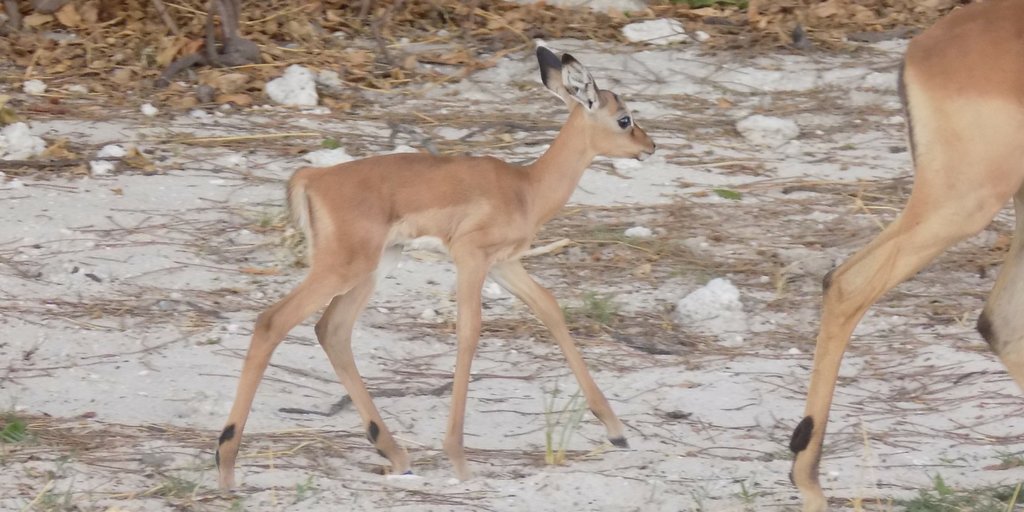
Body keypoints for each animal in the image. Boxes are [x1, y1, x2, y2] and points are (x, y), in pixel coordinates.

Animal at [215, 46, 656, 487]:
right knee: (273, 321)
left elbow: (549, 307)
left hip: (373, 267)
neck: (526, 188)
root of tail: (312, 176)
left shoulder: (504, 264)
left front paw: (616, 431)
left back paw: (394, 453)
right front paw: (458, 458)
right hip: (343, 268)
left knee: (332, 330)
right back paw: (226, 462)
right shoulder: (470, 256)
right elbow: (469, 332)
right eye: (624, 118)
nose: (650, 145)